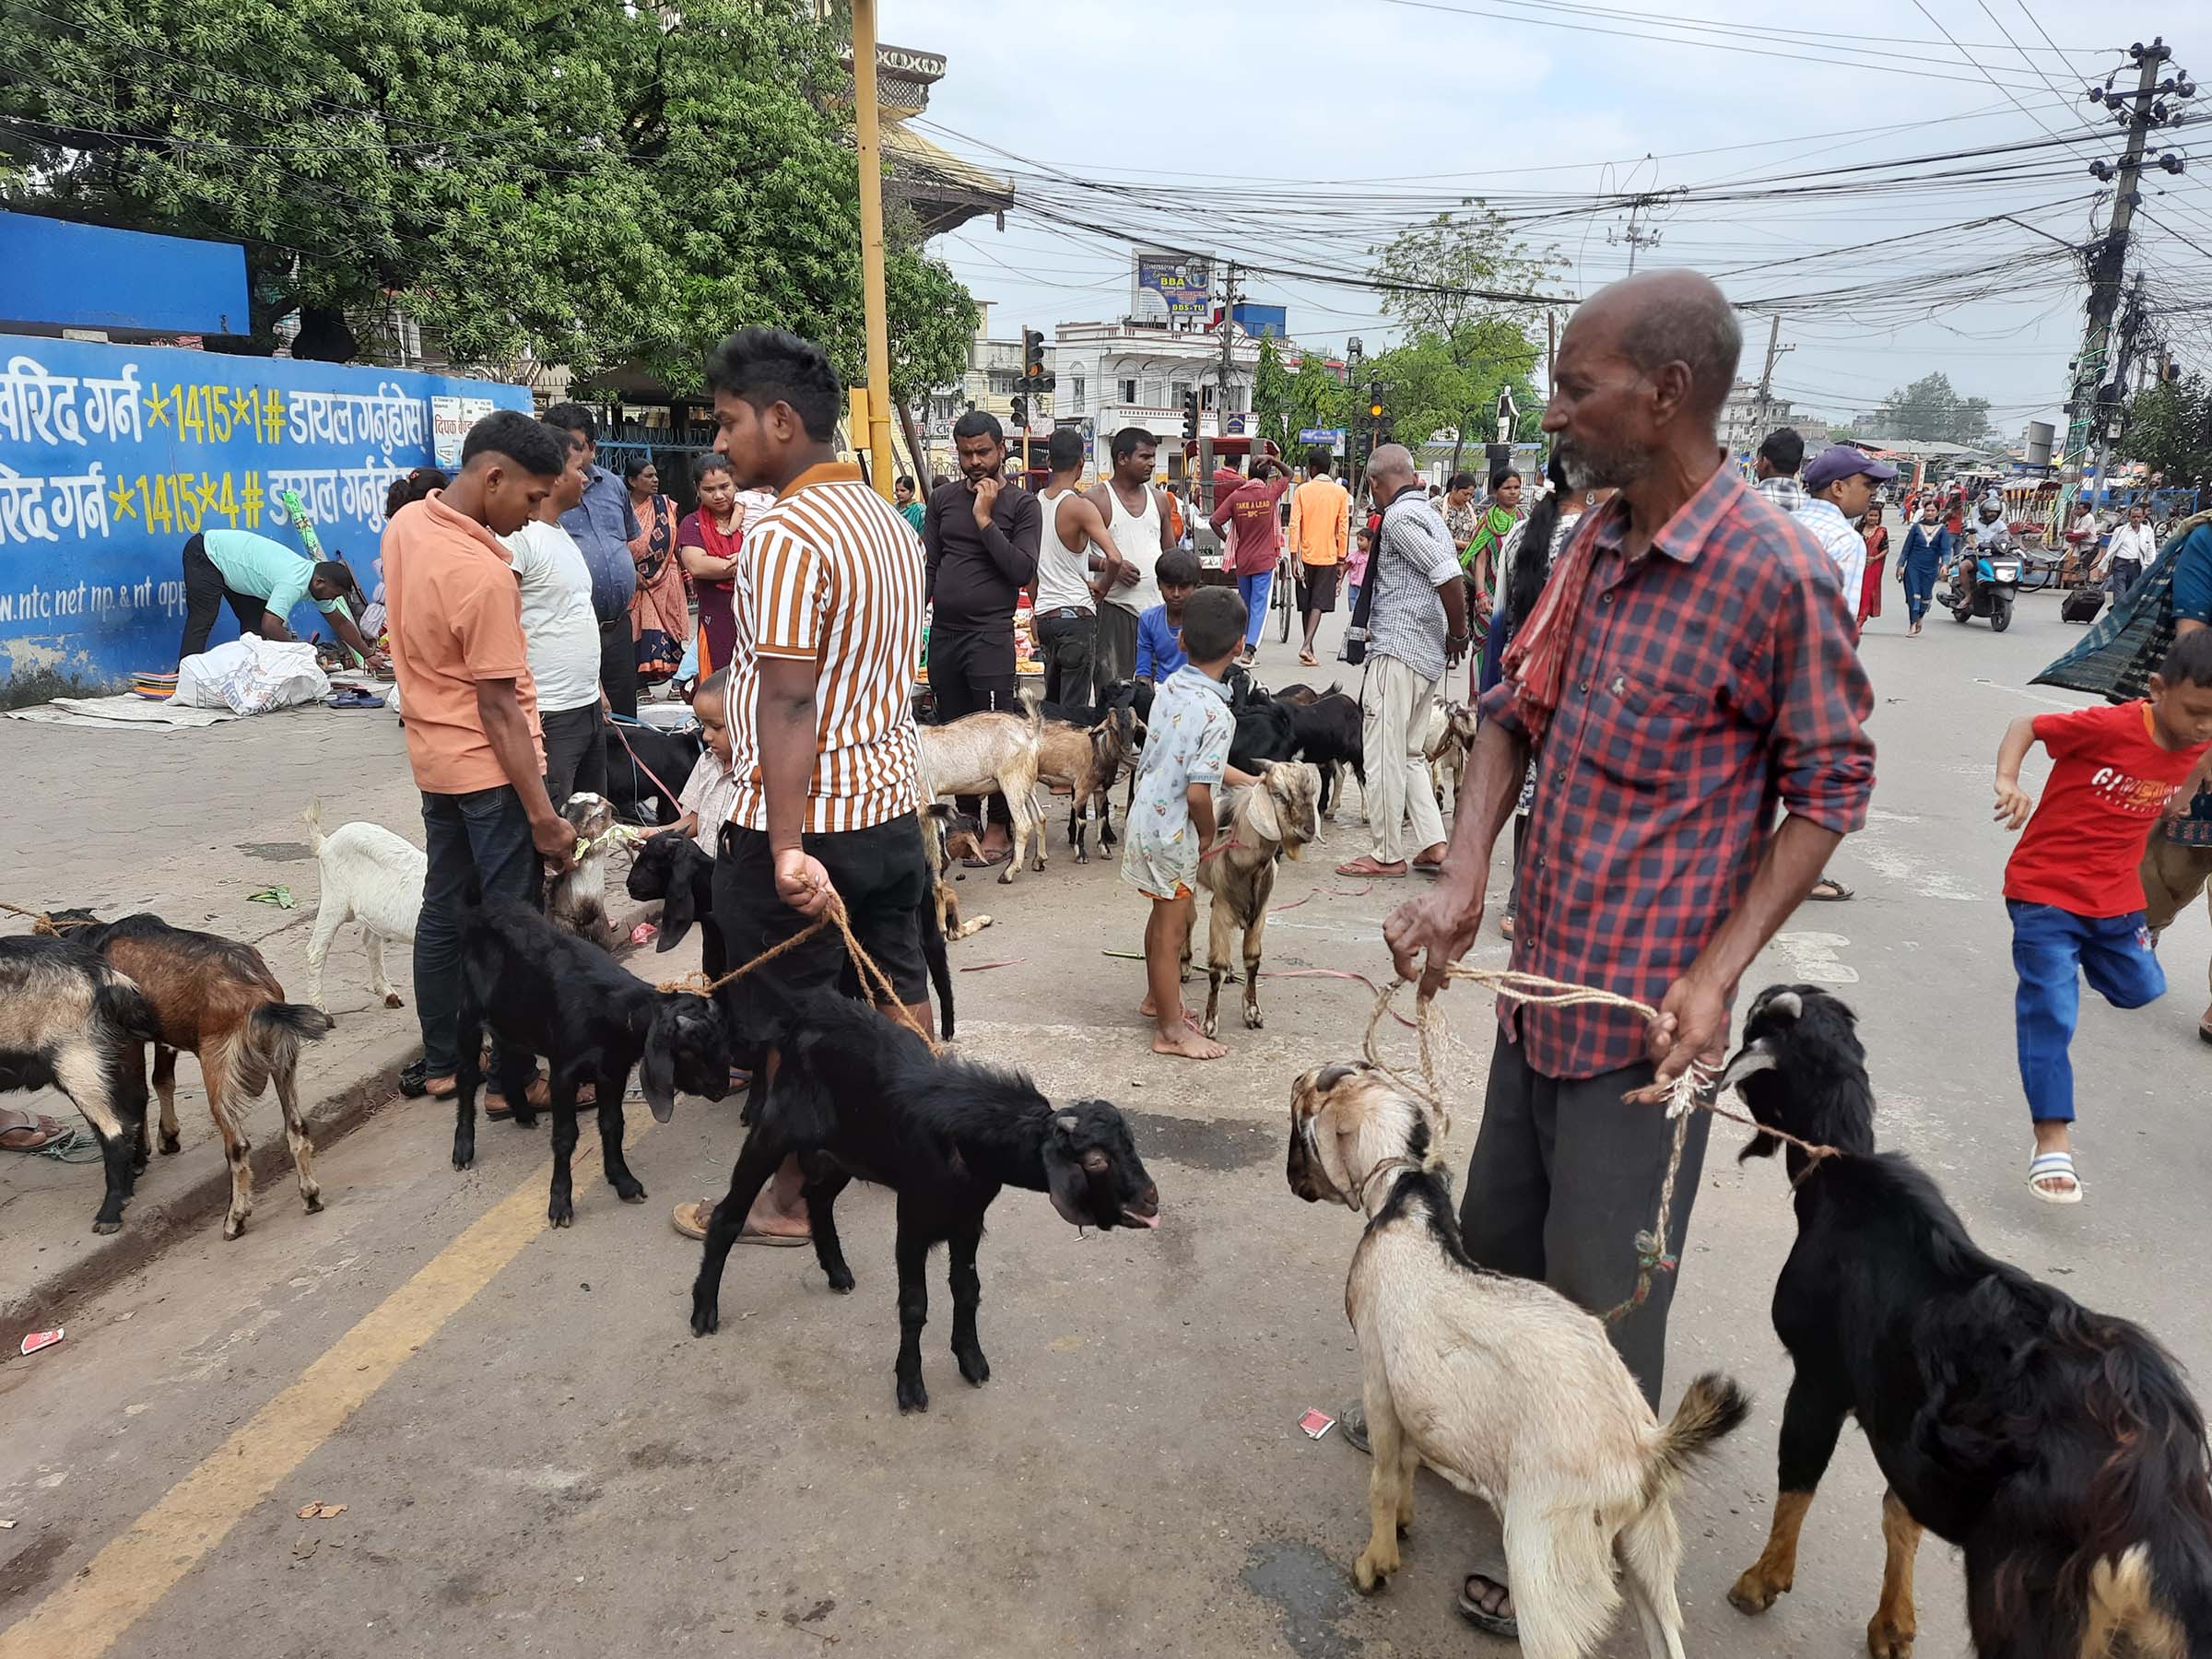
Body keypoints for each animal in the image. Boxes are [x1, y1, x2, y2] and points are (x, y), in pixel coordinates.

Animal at [0, 937, 161, 1239]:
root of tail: (104, 975)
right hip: (118, 1055)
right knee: (134, 1108)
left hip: (76, 1060)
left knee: (115, 1129)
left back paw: (109, 1213)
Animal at [53, 911, 332, 1247]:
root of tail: (261, 997)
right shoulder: (163, 1035)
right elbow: (162, 1080)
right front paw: (167, 1137)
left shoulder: (129, 1040)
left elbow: (137, 1093)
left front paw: (141, 1155)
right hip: (283, 1063)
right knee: (297, 1129)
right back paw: (310, 1195)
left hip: (218, 1071)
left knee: (237, 1147)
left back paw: (235, 1219)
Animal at [300, 800, 420, 1013]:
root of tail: (325, 842)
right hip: (334, 900)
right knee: (316, 949)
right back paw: (320, 1009)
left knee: (370, 940)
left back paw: (388, 994)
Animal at [694, 995, 1168, 1406]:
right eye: (1095, 1160)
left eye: (1130, 1144)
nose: (1150, 1200)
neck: (966, 1144)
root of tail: (805, 1017)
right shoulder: (913, 1220)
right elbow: (914, 1305)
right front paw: (910, 1386)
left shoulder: (969, 1219)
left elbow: (967, 1289)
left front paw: (972, 1361)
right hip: (773, 1132)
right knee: (728, 1214)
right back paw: (703, 1311)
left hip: (846, 1152)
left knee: (819, 1199)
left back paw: (837, 1271)